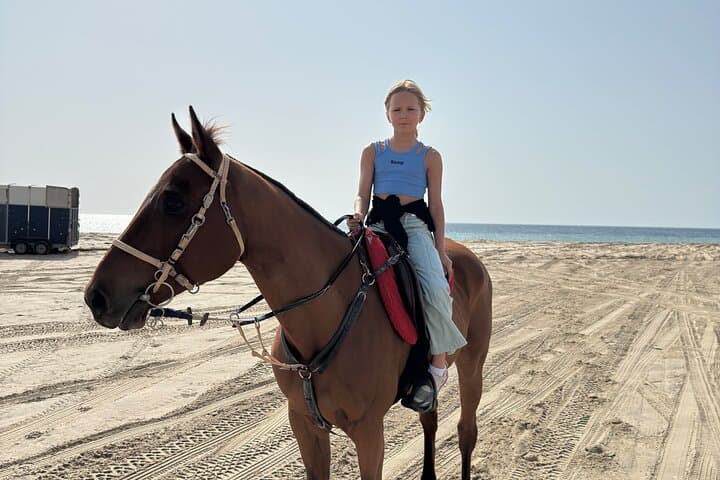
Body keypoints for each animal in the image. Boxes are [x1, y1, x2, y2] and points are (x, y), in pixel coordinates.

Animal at [84, 107, 492, 480]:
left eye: (172, 201)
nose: (96, 296)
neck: (329, 313)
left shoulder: (369, 433)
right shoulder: (305, 427)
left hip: (472, 365)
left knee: (465, 432)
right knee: (431, 422)